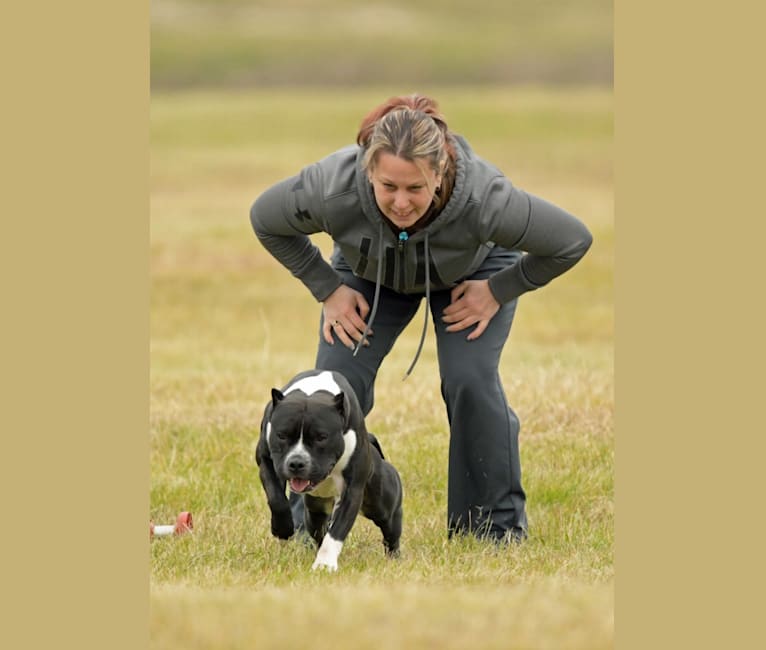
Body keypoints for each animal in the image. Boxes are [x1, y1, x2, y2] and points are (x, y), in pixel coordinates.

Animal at [256, 368, 404, 568]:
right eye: (282, 435)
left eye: (321, 437)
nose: (296, 462)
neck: (313, 392)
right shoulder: (266, 461)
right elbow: (276, 498)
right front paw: (282, 528)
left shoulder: (352, 490)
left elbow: (337, 532)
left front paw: (324, 565)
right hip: (314, 511)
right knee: (319, 531)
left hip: (382, 505)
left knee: (390, 528)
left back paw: (394, 557)